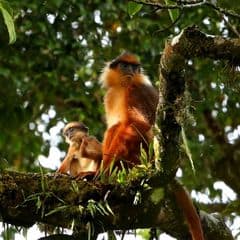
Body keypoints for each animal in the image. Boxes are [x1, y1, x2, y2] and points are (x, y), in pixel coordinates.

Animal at [99, 52, 204, 240]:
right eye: (125, 65)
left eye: (135, 67)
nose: (131, 71)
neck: (123, 87)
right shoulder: (110, 96)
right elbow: (113, 128)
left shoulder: (135, 89)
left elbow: (138, 124)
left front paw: (105, 172)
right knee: (115, 128)